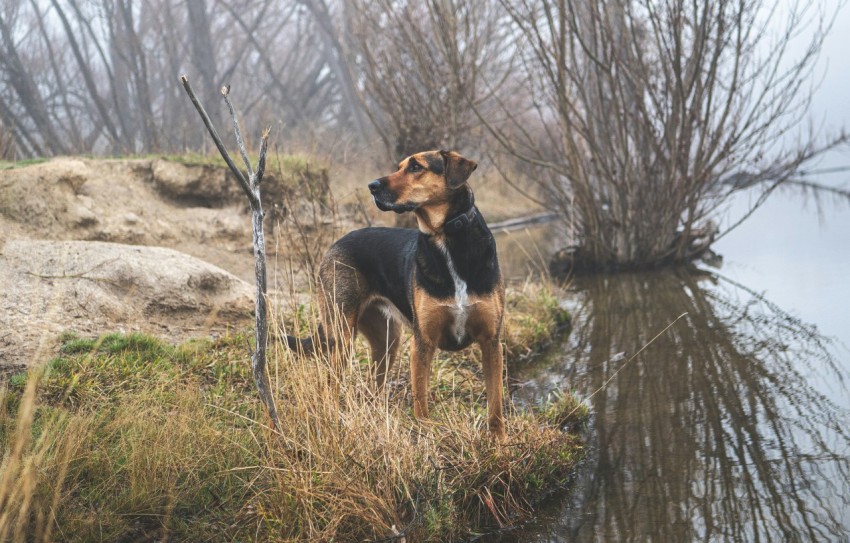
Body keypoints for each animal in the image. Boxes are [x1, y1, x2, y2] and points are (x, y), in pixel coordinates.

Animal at [288, 151, 506, 440]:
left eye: (415, 167)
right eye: (400, 166)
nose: (371, 186)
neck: (445, 237)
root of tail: (336, 243)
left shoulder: (491, 342)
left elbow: (496, 403)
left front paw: (499, 441)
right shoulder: (422, 343)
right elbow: (421, 400)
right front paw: (426, 434)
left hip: (387, 340)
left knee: (374, 386)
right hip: (342, 334)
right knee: (330, 382)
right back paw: (332, 417)